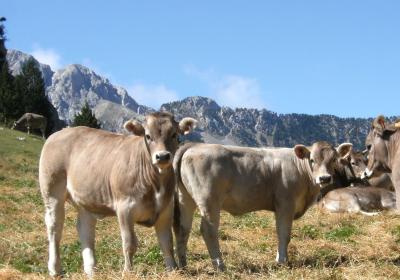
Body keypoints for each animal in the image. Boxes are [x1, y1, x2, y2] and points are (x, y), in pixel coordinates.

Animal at [38, 112, 198, 278]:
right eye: (147, 136)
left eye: (174, 135)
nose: (162, 156)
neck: (156, 183)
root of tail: (59, 133)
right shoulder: (125, 208)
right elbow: (129, 244)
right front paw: (128, 272)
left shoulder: (165, 210)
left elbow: (167, 243)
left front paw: (173, 270)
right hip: (52, 190)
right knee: (54, 227)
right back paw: (55, 269)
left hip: (86, 198)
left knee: (85, 229)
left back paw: (91, 270)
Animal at [173, 141, 352, 270]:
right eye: (312, 160)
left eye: (334, 160)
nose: (324, 178)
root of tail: (194, 146)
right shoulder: (285, 204)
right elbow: (284, 234)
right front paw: (282, 261)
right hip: (209, 200)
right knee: (208, 230)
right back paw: (219, 266)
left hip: (185, 199)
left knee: (183, 229)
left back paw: (183, 265)